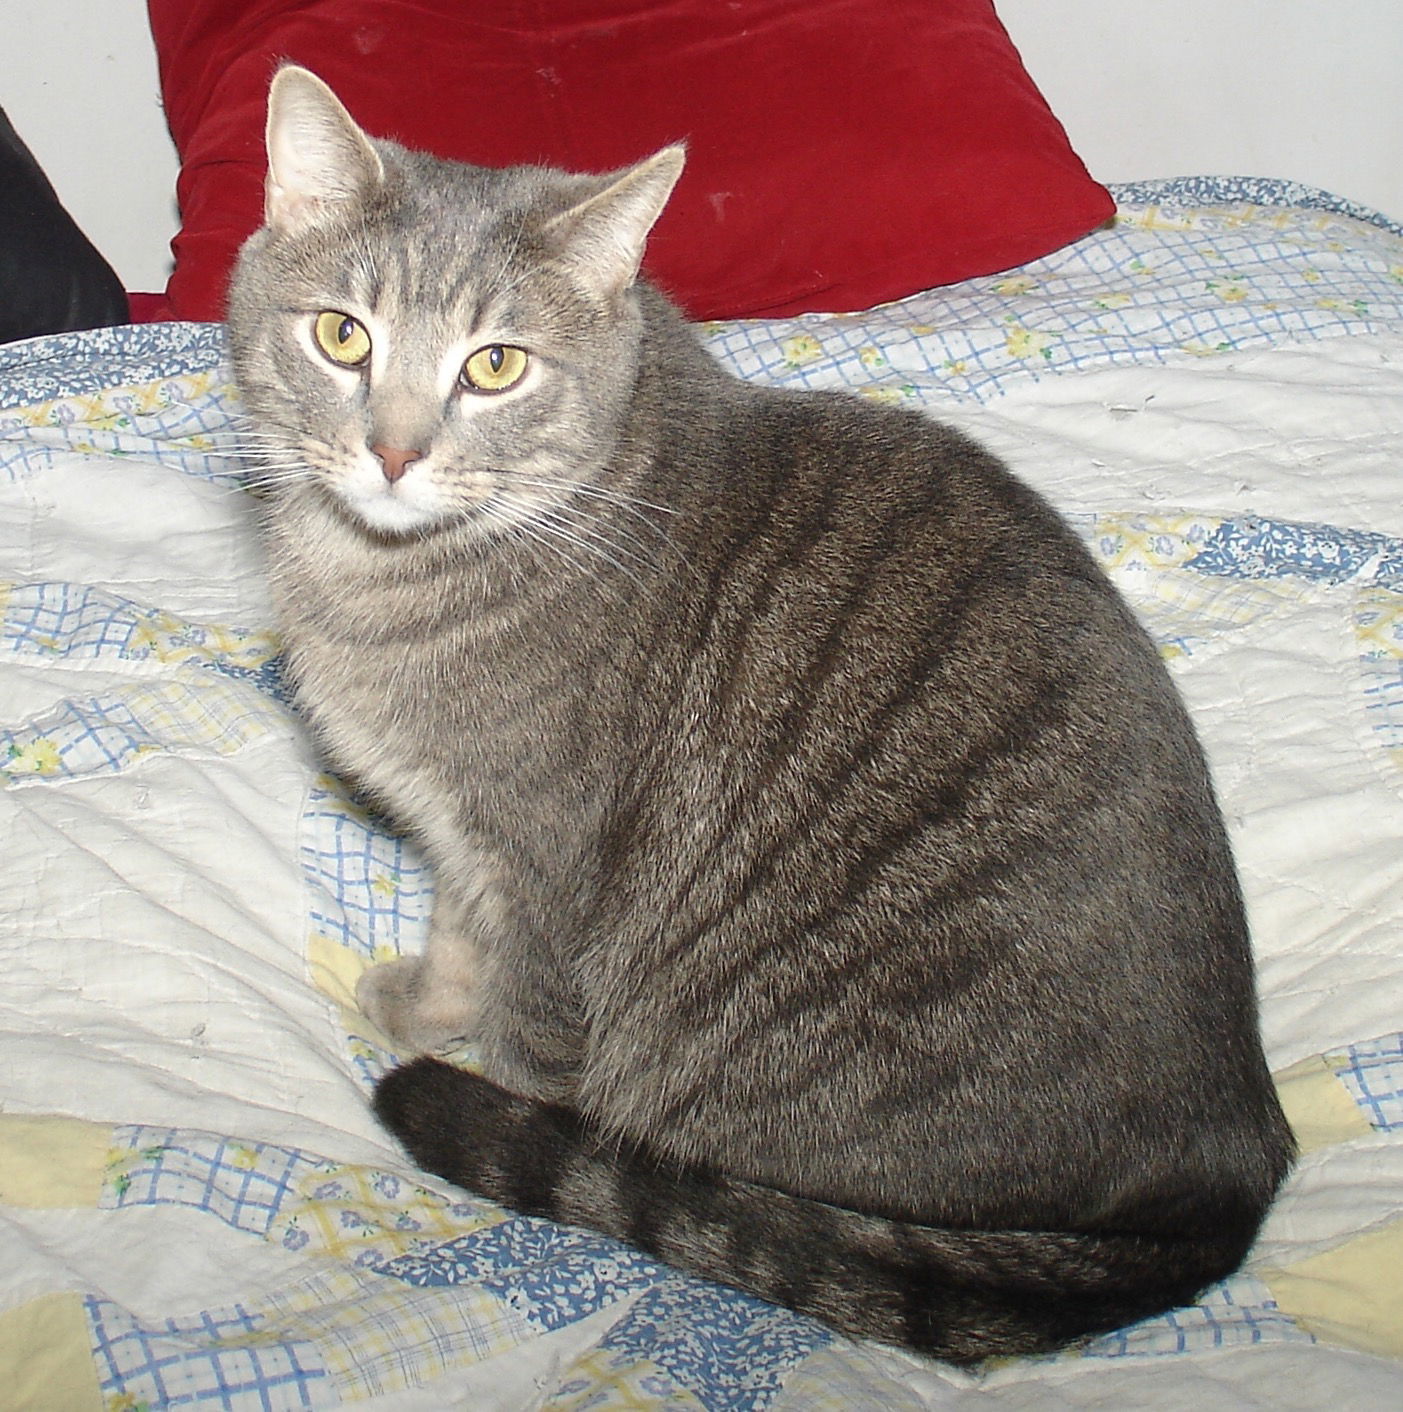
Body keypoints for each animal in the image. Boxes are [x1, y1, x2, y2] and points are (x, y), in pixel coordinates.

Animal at [227, 68, 1292, 1366]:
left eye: (495, 366)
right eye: (343, 335)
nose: (391, 449)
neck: (380, 580)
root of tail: (1231, 1168)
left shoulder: (547, 862)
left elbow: (527, 1034)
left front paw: (487, 1122)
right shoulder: (464, 838)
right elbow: (458, 937)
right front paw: (427, 1001)